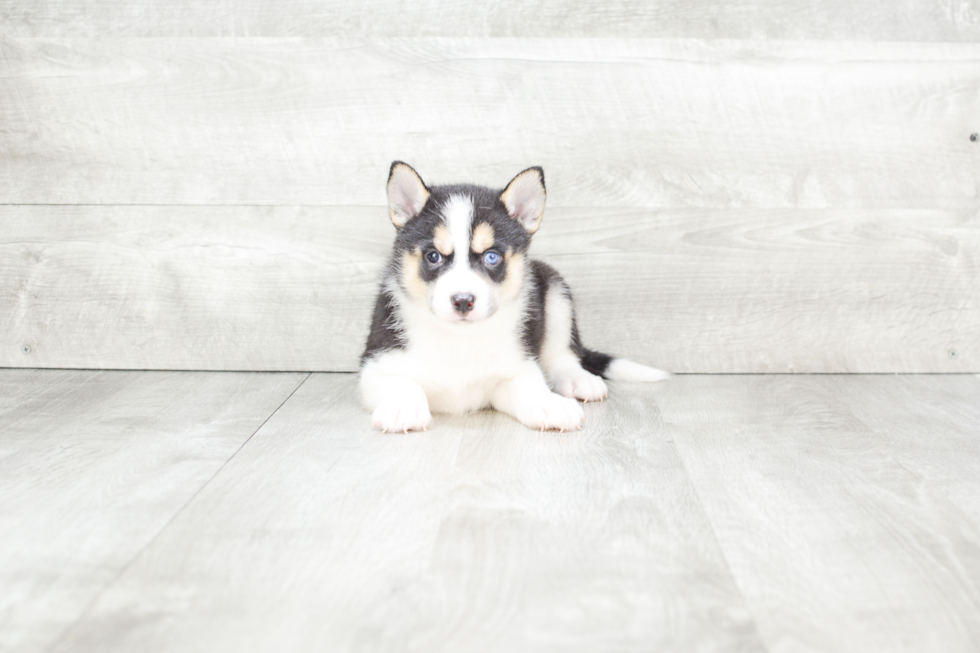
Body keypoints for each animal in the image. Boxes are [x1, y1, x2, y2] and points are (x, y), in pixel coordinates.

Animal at [356, 160, 668, 430]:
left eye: (491, 257)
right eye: (433, 256)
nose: (463, 301)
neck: (459, 338)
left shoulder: (515, 369)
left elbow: (528, 386)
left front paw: (549, 404)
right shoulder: (374, 367)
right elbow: (402, 383)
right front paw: (402, 407)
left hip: (555, 291)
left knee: (562, 355)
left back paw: (579, 379)